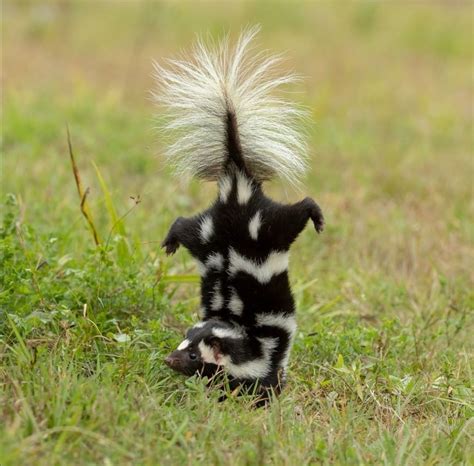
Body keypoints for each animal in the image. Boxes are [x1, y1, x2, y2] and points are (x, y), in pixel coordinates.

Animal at [154, 25, 324, 396]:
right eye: (182, 346)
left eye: (192, 355)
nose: (169, 360)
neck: (242, 332)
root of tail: (236, 186)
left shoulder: (268, 356)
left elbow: (265, 382)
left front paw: (268, 394)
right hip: (228, 229)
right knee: (184, 223)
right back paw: (170, 241)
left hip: (251, 226)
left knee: (299, 209)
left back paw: (317, 217)